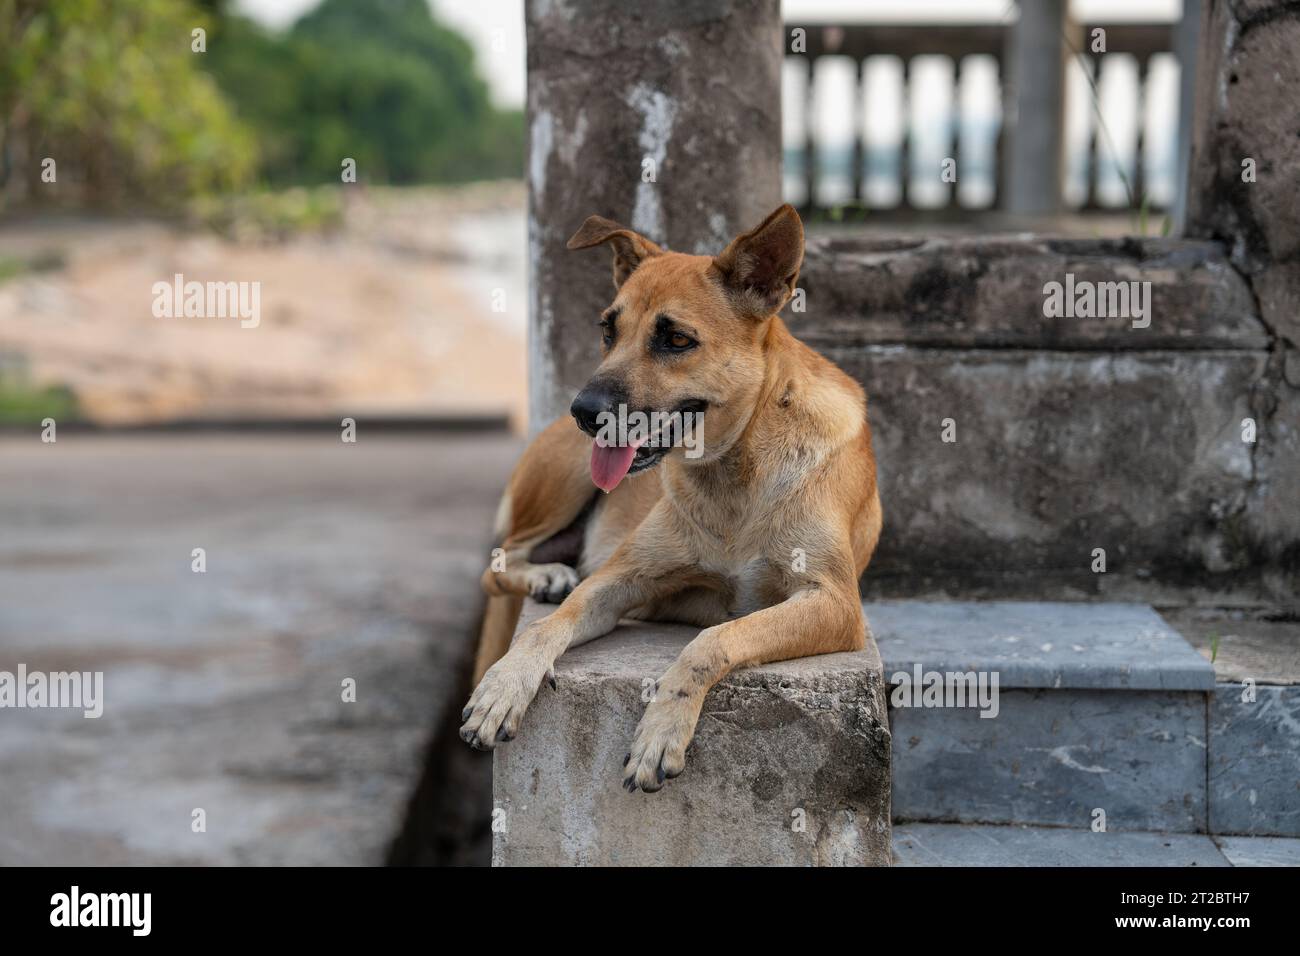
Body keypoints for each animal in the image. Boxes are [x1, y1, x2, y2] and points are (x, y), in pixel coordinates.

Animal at [460, 201, 883, 790]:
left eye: (677, 340)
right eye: (608, 329)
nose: (584, 412)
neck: (734, 472)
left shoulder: (836, 603)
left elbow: (713, 639)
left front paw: (661, 730)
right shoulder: (620, 577)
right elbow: (548, 625)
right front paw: (504, 684)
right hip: (567, 478)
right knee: (498, 565)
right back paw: (545, 576)